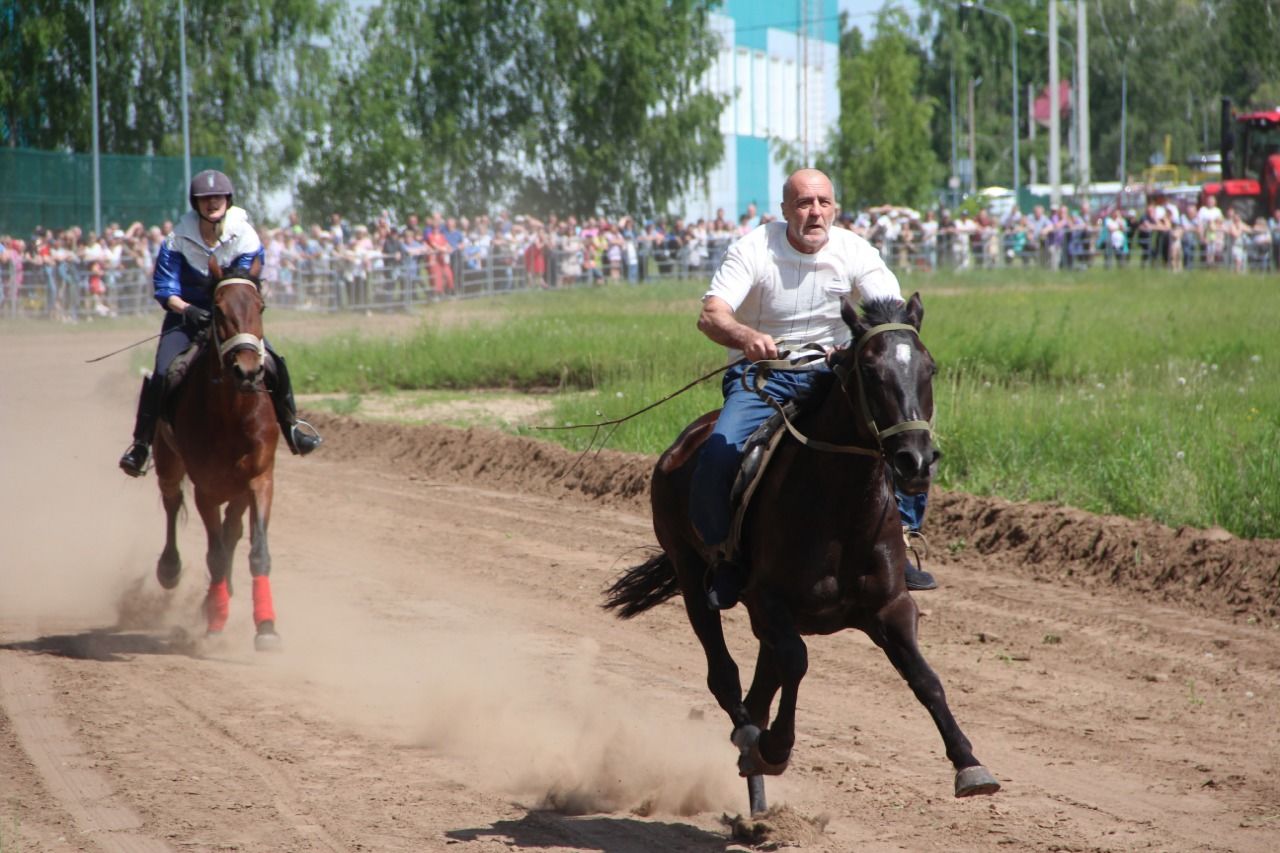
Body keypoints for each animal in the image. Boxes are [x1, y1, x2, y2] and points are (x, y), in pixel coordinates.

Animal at [153, 256, 281, 648]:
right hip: (168, 464)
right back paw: (170, 570)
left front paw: (266, 627)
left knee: (232, 531)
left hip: (237, 488)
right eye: (218, 309)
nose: (248, 370)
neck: (231, 413)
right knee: (172, 503)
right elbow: (215, 557)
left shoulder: (260, 479)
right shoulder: (206, 490)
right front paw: (214, 619)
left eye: (260, 306)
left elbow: (256, 553)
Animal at [601, 292, 998, 809]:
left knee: (759, 685)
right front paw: (774, 747)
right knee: (725, 676)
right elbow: (797, 662)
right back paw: (752, 745)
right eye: (869, 369)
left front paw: (969, 762)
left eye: (928, 367)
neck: (841, 513)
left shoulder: (891, 605)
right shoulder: (767, 603)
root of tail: (679, 448)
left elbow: (924, 676)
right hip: (691, 577)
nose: (915, 459)